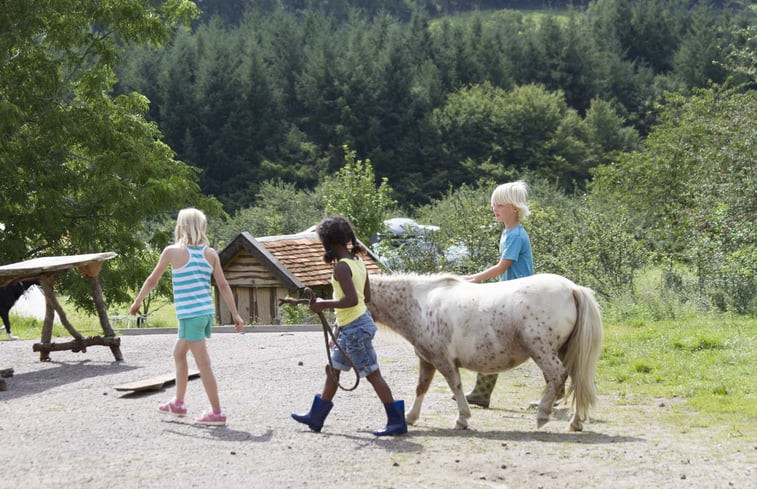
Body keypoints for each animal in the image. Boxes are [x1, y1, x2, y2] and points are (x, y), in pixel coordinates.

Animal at [366, 272, 604, 428]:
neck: (422, 306)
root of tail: (573, 289)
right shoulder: (427, 360)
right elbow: (421, 388)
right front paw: (411, 417)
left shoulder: (444, 361)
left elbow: (455, 386)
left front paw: (462, 418)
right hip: (564, 351)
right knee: (576, 380)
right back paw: (575, 421)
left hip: (542, 350)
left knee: (558, 375)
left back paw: (543, 415)